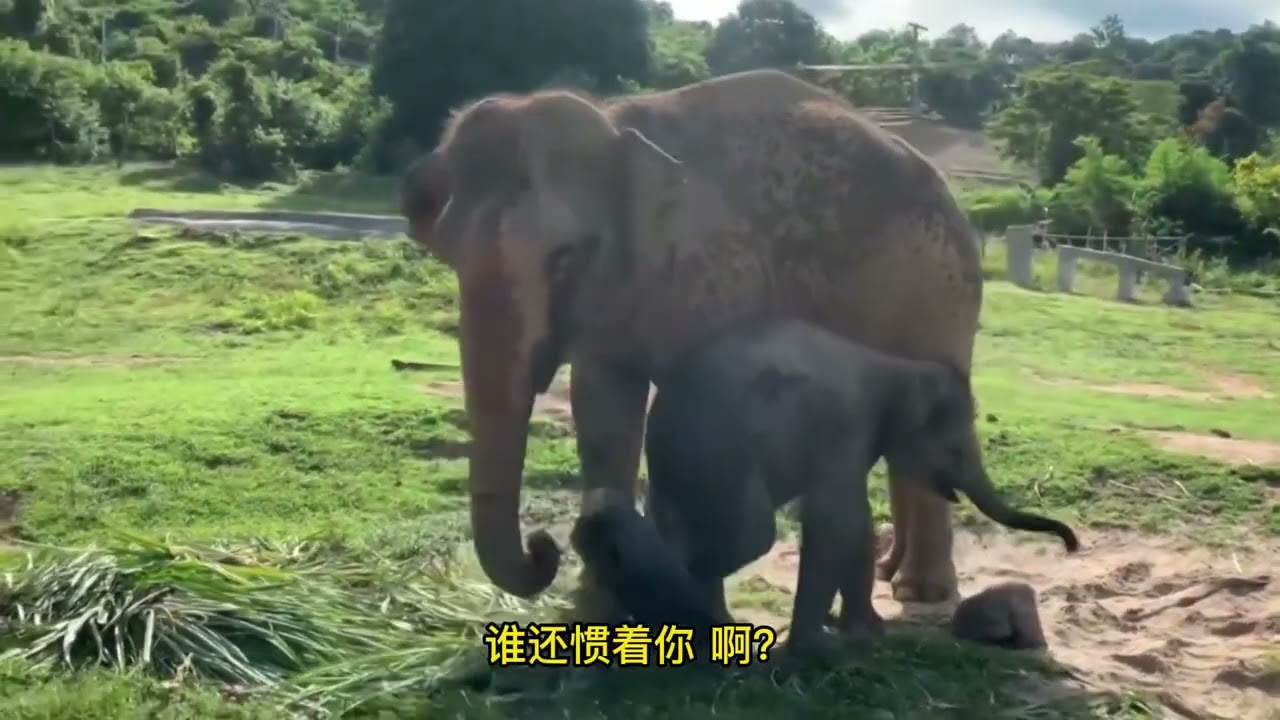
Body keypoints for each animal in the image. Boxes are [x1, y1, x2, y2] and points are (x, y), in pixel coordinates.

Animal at [397, 68, 986, 609]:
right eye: (449, 255)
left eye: (563, 257)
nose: (544, 550)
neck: (618, 127)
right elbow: (602, 408)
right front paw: (603, 600)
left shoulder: (721, 270)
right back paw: (892, 571)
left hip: (941, 295)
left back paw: (921, 591)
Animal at [570, 316, 1079, 655]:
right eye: (954, 448)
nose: (1072, 545)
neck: (900, 367)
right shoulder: (844, 425)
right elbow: (836, 520)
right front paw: (810, 653)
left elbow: (856, 524)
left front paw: (865, 633)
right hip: (717, 448)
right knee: (745, 538)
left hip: (678, 461)